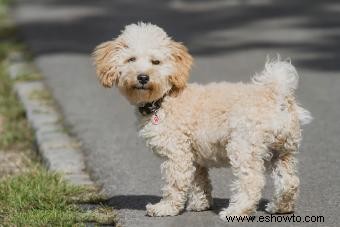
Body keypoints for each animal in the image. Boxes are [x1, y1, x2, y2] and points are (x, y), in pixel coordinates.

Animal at [91, 22, 312, 220]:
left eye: (156, 62)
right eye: (131, 59)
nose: (143, 77)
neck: (164, 99)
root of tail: (277, 94)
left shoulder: (177, 153)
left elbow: (175, 183)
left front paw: (165, 208)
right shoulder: (194, 155)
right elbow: (199, 181)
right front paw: (200, 204)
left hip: (244, 146)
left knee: (252, 181)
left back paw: (236, 211)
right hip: (283, 150)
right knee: (290, 181)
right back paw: (280, 207)